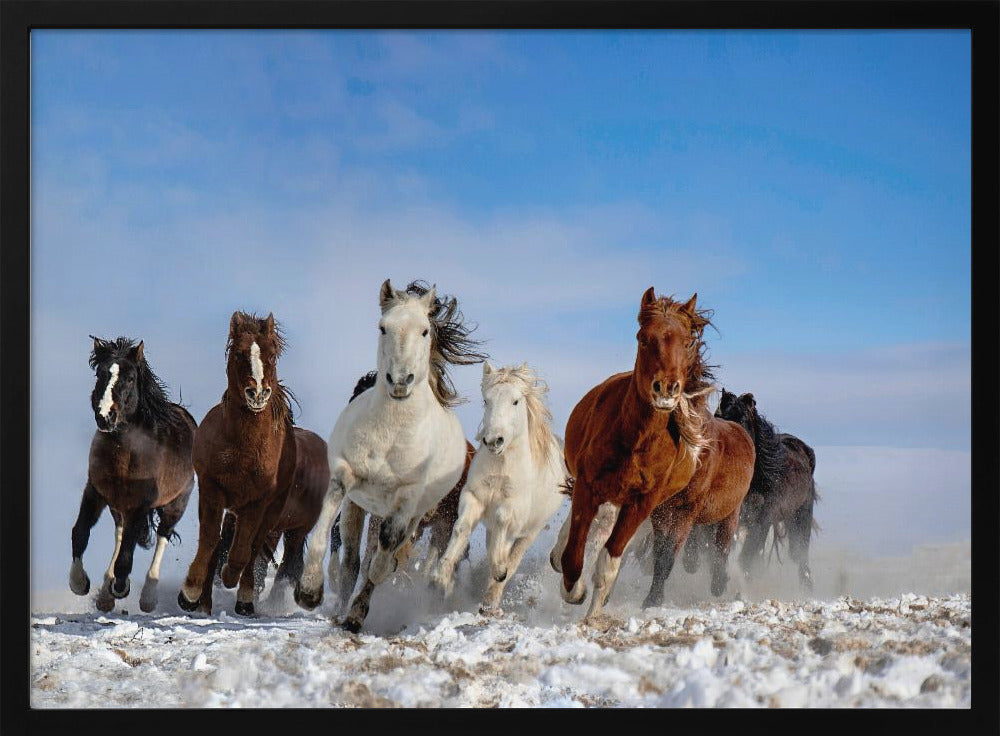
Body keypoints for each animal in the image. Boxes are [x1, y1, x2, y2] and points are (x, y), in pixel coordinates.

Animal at [69, 336, 196, 612]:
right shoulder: (95, 492)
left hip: (175, 504)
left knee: (162, 536)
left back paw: (147, 597)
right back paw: (105, 594)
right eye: (100, 373)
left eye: (129, 378)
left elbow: (127, 554)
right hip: (118, 506)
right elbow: (80, 533)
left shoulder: (141, 504)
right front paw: (79, 583)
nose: (105, 417)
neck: (125, 452)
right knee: (119, 534)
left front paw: (121, 586)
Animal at [174, 310, 326, 616]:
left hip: (278, 517)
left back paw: (244, 598)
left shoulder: (257, 502)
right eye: (239, 354)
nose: (257, 393)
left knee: (255, 548)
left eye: (272, 355)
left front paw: (231, 580)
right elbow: (209, 540)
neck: (242, 450)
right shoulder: (212, 489)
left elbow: (244, 549)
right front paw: (190, 594)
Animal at [294, 278, 486, 628]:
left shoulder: (406, 504)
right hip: (362, 507)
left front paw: (362, 605)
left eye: (424, 330)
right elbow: (325, 531)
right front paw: (309, 592)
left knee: (379, 557)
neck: (392, 432)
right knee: (351, 560)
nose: (399, 381)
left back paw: (356, 613)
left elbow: (383, 559)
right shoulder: (345, 478)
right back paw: (342, 610)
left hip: (415, 515)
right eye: (383, 327)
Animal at [430, 360, 572, 612]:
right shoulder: (474, 497)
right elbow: (462, 528)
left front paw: (499, 570)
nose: (494, 441)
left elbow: (502, 526)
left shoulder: (512, 509)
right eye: (486, 400)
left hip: (531, 531)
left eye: (515, 401)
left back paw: (492, 597)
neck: (501, 468)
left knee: (513, 557)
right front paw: (442, 578)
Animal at [680, 392, 820, 592]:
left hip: (800, 517)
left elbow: (746, 556)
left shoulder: (761, 520)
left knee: (799, 554)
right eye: (717, 416)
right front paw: (695, 564)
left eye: (742, 419)